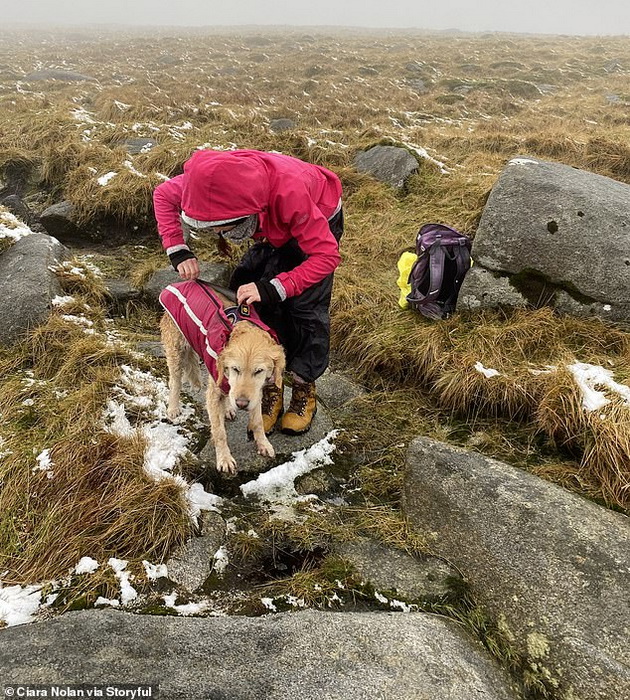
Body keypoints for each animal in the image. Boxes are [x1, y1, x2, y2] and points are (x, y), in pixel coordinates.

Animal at [160, 286, 286, 476]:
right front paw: (224, 459)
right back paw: (173, 408)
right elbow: (219, 432)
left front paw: (263, 443)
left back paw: (228, 409)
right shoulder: (213, 392)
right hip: (176, 351)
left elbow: (258, 421)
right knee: (175, 381)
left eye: (258, 371)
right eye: (235, 369)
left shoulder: (255, 393)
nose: (241, 404)